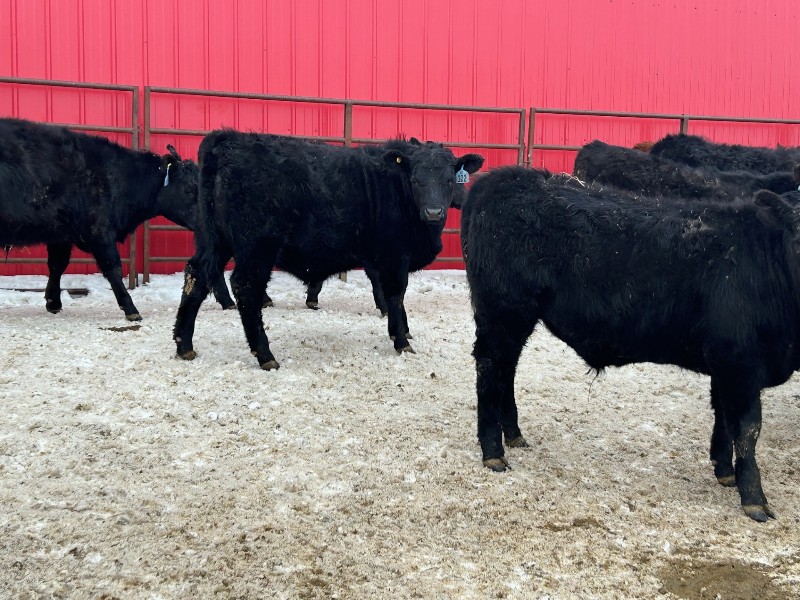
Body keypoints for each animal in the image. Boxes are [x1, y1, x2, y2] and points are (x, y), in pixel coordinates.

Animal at [0, 117, 199, 320]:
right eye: (190, 189)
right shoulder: (100, 231)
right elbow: (113, 268)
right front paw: (131, 308)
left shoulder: (61, 233)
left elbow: (57, 265)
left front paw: (53, 302)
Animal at [173, 130, 483, 369]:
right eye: (417, 179)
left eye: (449, 179)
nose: (434, 211)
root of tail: (229, 139)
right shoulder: (393, 256)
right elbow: (395, 295)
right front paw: (401, 339)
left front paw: (405, 331)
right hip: (256, 247)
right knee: (246, 287)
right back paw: (265, 355)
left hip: (215, 240)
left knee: (197, 275)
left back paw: (183, 344)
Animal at [462, 165, 800, 522]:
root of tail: (503, 177)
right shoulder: (739, 363)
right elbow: (748, 429)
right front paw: (754, 498)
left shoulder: (726, 365)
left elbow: (724, 418)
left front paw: (725, 473)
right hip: (503, 312)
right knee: (490, 370)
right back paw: (493, 452)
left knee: (506, 370)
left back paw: (513, 434)